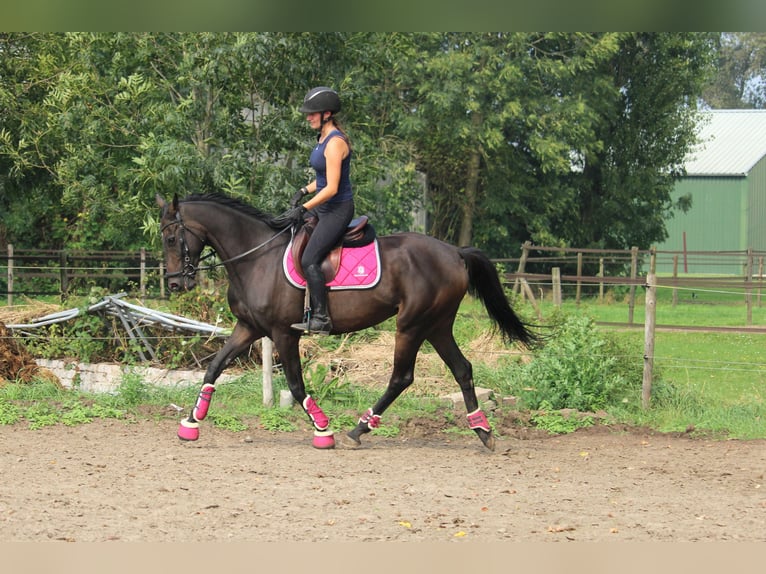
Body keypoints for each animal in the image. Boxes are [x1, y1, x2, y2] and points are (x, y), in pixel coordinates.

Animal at [158, 195, 536, 454]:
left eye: (171, 239)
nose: (175, 284)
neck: (256, 258)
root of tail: (454, 253)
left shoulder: (283, 333)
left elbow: (296, 385)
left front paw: (323, 431)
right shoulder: (249, 328)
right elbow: (214, 368)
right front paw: (191, 422)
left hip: (412, 325)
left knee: (402, 377)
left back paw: (359, 429)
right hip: (437, 325)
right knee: (462, 369)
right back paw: (483, 432)